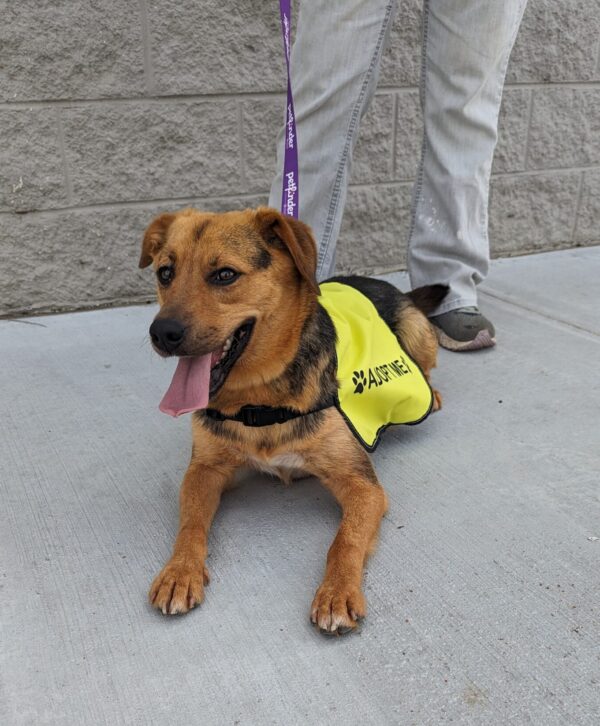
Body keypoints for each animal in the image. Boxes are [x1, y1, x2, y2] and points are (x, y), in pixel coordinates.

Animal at [137, 206, 446, 636]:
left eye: (225, 275)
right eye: (165, 273)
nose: (161, 333)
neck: (259, 399)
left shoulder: (362, 486)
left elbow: (345, 539)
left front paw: (336, 592)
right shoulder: (204, 469)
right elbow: (191, 523)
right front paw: (179, 571)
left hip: (417, 332)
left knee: (427, 367)